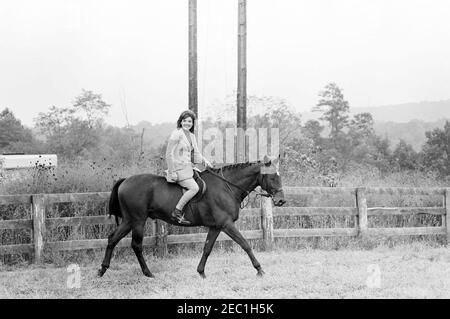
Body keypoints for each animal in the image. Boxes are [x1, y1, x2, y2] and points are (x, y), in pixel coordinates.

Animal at [98, 156, 284, 278]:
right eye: (272, 177)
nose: (281, 200)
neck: (227, 187)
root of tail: (125, 181)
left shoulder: (216, 226)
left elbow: (207, 248)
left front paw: (201, 272)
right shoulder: (226, 224)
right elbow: (245, 244)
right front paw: (259, 269)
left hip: (129, 221)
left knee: (112, 239)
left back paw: (102, 269)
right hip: (138, 221)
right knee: (136, 245)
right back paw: (148, 273)